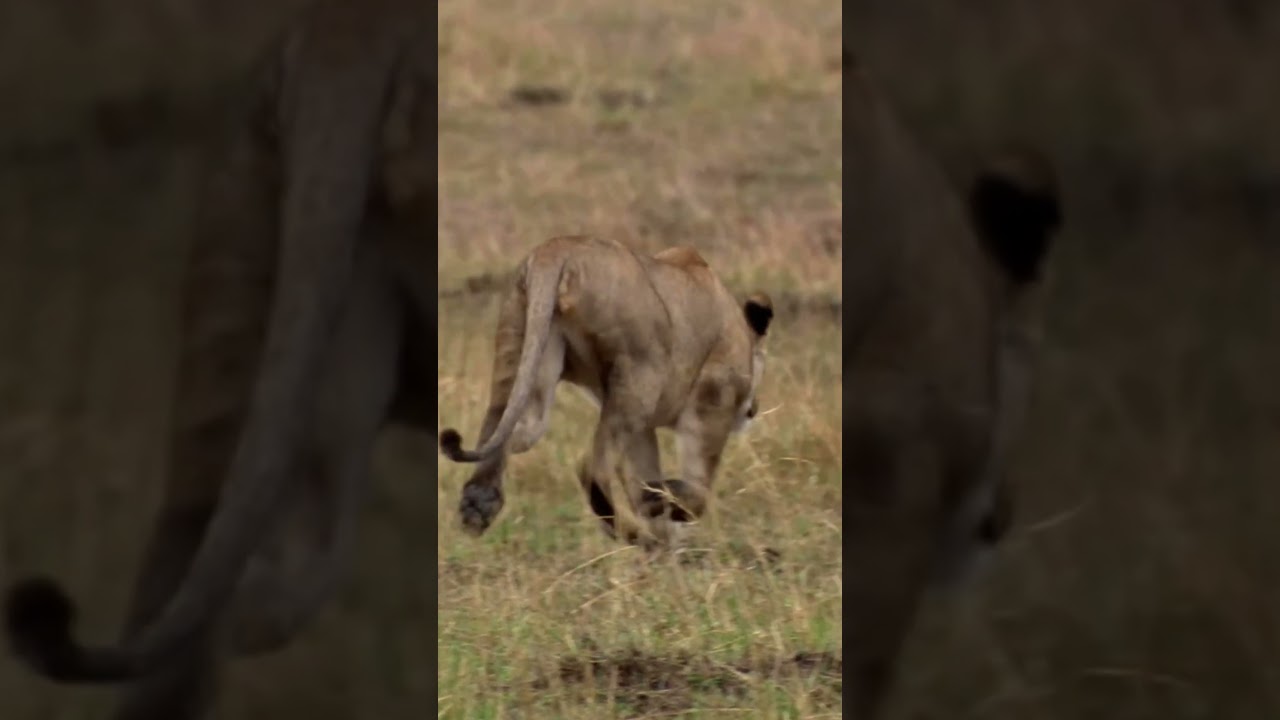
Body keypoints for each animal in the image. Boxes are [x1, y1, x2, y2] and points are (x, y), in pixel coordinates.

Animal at [439, 236, 773, 549]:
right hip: (640, 376)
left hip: (525, 351)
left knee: (504, 433)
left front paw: (665, 530)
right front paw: (664, 508)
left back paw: (477, 508)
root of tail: (556, 249)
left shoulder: (644, 427)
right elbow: (698, 489)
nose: (755, 408)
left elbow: (643, 472)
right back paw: (639, 536)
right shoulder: (713, 399)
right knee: (592, 470)